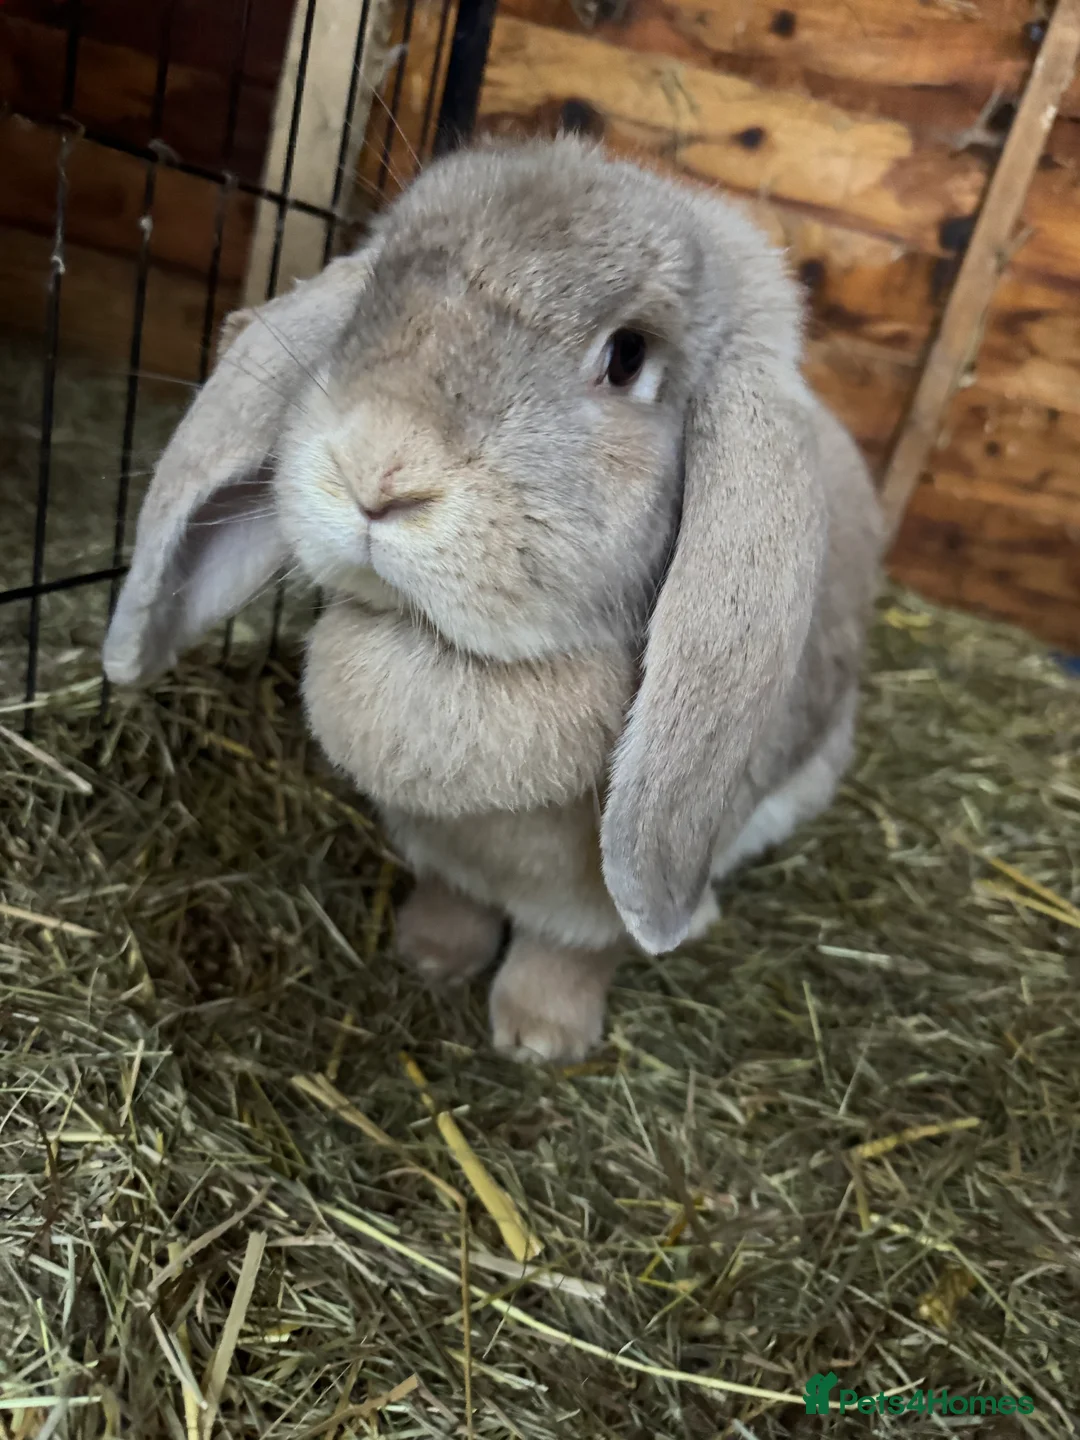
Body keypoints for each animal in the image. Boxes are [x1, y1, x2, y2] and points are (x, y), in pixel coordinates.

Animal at [103, 136, 883, 1063]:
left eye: (627, 356)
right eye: (378, 286)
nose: (376, 469)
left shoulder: (592, 907)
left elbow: (571, 950)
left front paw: (541, 1038)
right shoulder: (442, 852)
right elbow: (456, 901)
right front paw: (431, 957)